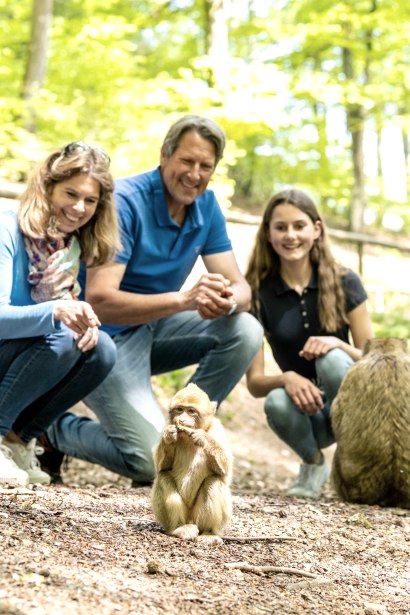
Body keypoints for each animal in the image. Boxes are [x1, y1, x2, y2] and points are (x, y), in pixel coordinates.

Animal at [151, 382, 234, 548]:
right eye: (180, 409)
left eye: (191, 411)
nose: (182, 420)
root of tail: (190, 519)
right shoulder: (167, 424)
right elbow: (161, 468)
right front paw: (169, 436)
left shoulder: (217, 428)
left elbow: (225, 472)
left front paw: (203, 438)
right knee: (164, 477)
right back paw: (179, 528)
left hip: (199, 517)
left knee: (214, 481)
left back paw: (209, 533)